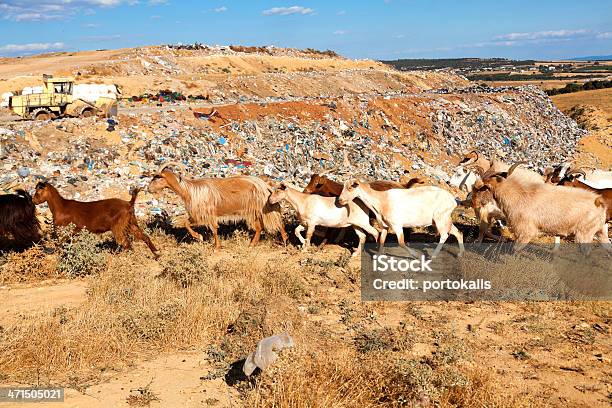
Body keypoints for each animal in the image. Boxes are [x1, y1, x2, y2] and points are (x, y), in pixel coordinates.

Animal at [474, 163, 608, 252]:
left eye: (486, 185)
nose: (478, 200)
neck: (519, 195)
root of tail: (598, 202)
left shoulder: (525, 231)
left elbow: (515, 250)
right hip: (600, 231)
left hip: (584, 234)